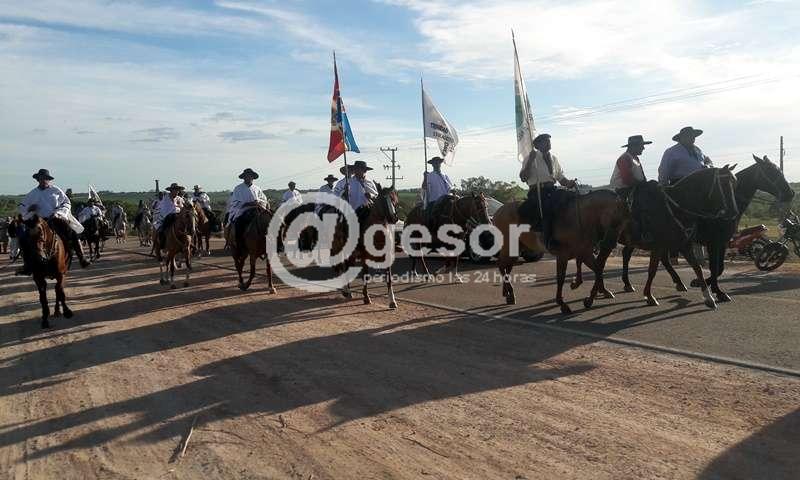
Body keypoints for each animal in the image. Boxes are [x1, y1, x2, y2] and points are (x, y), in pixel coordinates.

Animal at [494, 189, 626, 314]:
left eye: (624, 222)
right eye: (615, 218)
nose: (611, 244)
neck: (579, 218)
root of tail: (498, 212)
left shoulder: (585, 253)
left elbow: (598, 270)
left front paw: (590, 298)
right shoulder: (563, 256)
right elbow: (561, 278)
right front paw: (562, 304)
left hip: (517, 248)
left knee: (506, 267)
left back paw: (508, 293)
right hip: (508, 246)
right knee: (501, 265)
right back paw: (510, 294)